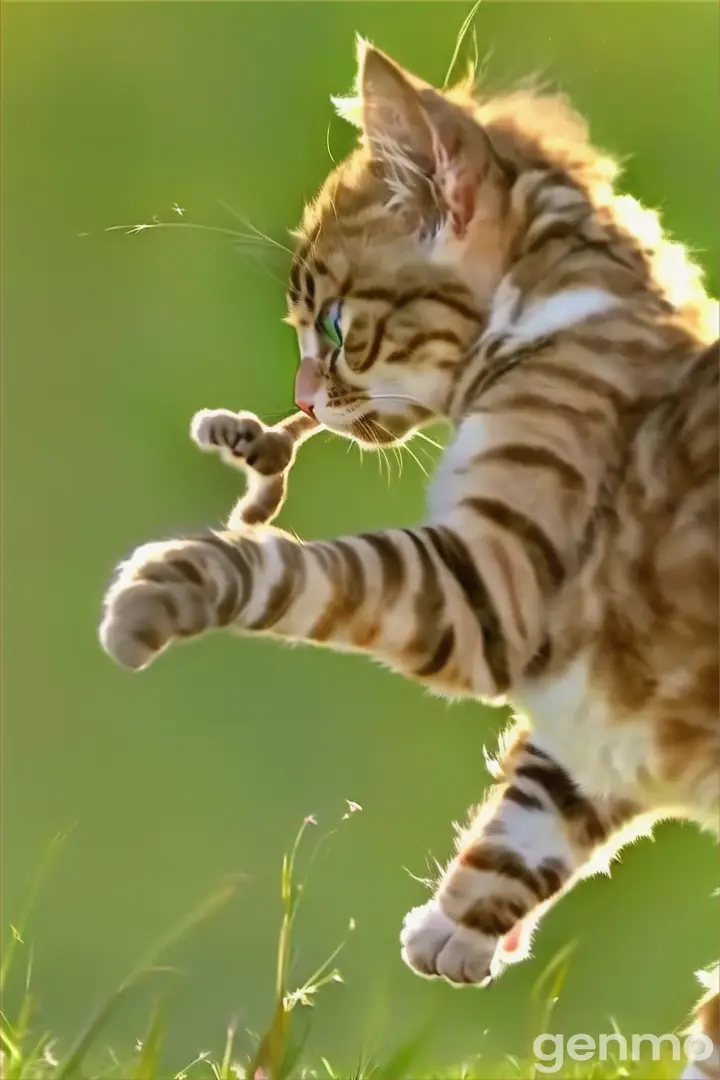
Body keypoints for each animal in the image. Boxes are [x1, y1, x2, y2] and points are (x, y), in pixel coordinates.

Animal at [98, 42, 716, 1080]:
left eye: (333, 325)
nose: (301, 399)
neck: (552, 322)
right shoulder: (597, 693)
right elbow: (542, 798)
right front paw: (460, 927)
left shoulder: (494, 585)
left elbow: (306, 570)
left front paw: (169, 582)